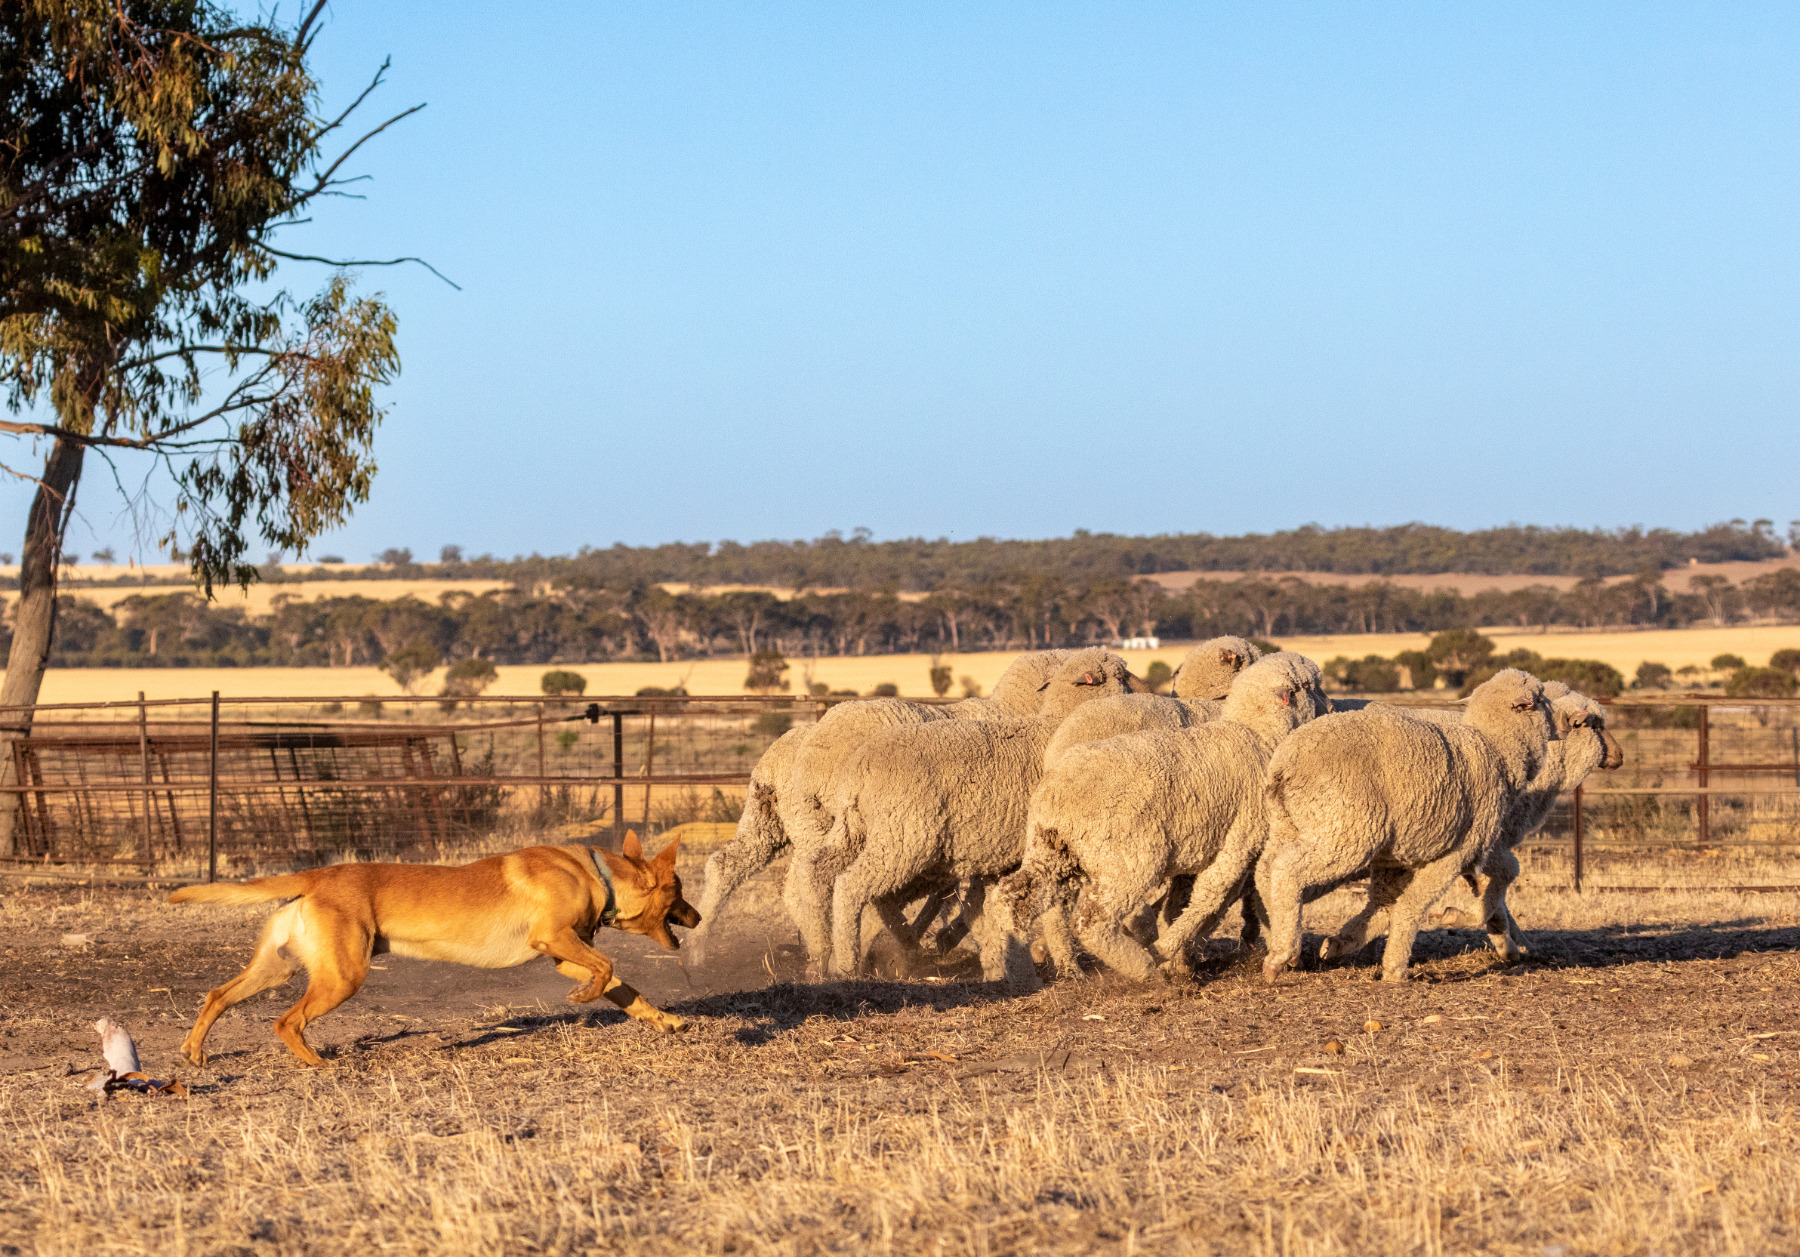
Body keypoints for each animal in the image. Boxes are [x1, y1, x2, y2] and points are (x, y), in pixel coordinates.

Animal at [1008, 651, 1332, 986]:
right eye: (1312, 687)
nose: (1332, 707)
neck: (1259, 736)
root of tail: (1057, 794)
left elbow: (1191, 900)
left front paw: (1182, 956)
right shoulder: (1241, 839)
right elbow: (1211, 896)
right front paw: (1168, 950)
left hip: (1048, 851)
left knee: (1017, 896)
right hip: (1129, 860)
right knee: (1093, 921)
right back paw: (1144, 968)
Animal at [1252, 666, 1562, 979]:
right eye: (1540, 699)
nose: (1565, 723)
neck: (1496, 750)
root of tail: (1285, 763)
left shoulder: (1406, 857)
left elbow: (1387, 903)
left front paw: (1343, 942)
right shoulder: (1455, 852)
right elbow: (1413, 904)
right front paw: (1397, 965)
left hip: (1290, 823)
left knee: (1265, 871)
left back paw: (1278, 937)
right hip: (1346, 833)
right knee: (1288, 871)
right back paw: (1281, 954)